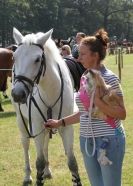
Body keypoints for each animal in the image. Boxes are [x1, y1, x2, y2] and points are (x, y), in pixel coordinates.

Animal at [11, 28, 82, 186]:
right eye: (14, 57)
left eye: (37, 59)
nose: (17, 94)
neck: (50, 91)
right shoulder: (36, 125)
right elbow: (39, 161)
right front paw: (38, 175)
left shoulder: (66, 126)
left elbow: (72, 162)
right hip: (21, 120)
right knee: (25, 144)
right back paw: (27, 175)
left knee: (45, 144)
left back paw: (47, 171)